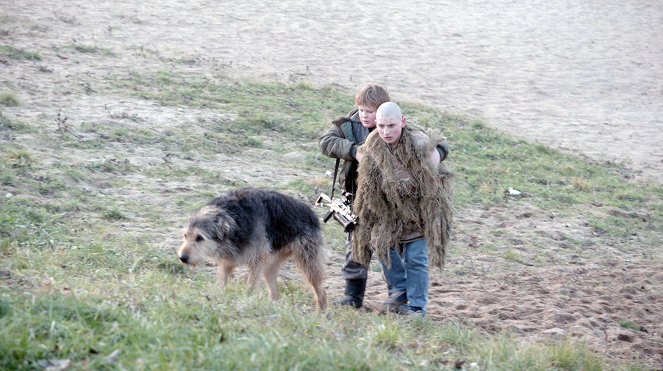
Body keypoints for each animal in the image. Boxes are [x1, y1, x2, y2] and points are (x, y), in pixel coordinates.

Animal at [178, 189, 328, 310]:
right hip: (271, 265)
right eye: (185, 235)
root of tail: (311, 213)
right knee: (274, 290)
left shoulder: (257, 260)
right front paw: (216, 298)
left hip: (308, 263)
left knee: (320, 290)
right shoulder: (227, 261)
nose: (182, 258)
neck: (234, 220)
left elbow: (250, 286)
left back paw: (321, 314)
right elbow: (221, 283)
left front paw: (246, 302)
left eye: (200, 237)